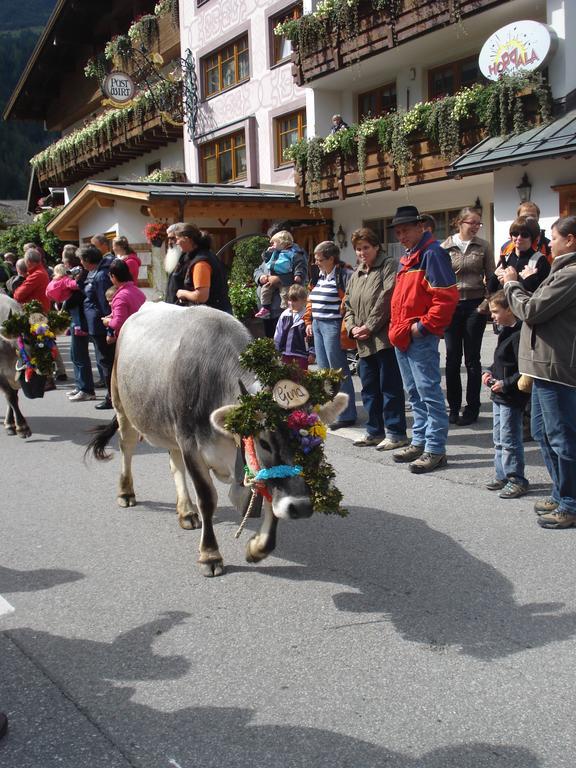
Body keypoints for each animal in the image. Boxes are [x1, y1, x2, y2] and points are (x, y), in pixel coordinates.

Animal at [86, 304, 346, 580]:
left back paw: (186, 511)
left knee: (174, 463)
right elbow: (207, 499)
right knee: (127, 448)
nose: (301, 507)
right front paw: (210, 555)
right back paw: (126, 492)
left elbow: (270, 503)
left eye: (315, 443)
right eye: (264, 443)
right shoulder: (191, 445)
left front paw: (257, 548)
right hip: (123, 406)